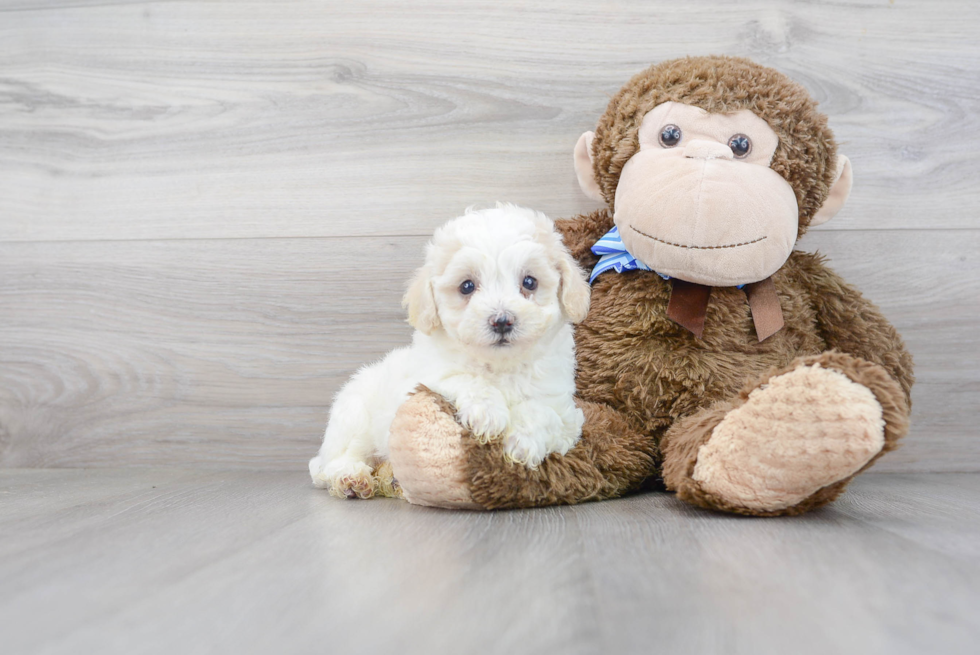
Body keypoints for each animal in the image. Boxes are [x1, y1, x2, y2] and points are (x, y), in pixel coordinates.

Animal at [310, 202, 592, 500]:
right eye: (467, 286)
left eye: (530, 282)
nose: (502, 320)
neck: (500, 366)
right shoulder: (428, 375)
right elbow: (463, 377)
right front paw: (488, 414)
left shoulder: (565, 410)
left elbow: (543, 412)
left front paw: (523, 442)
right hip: (355, 417)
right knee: (337, 459)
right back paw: (351, 478)